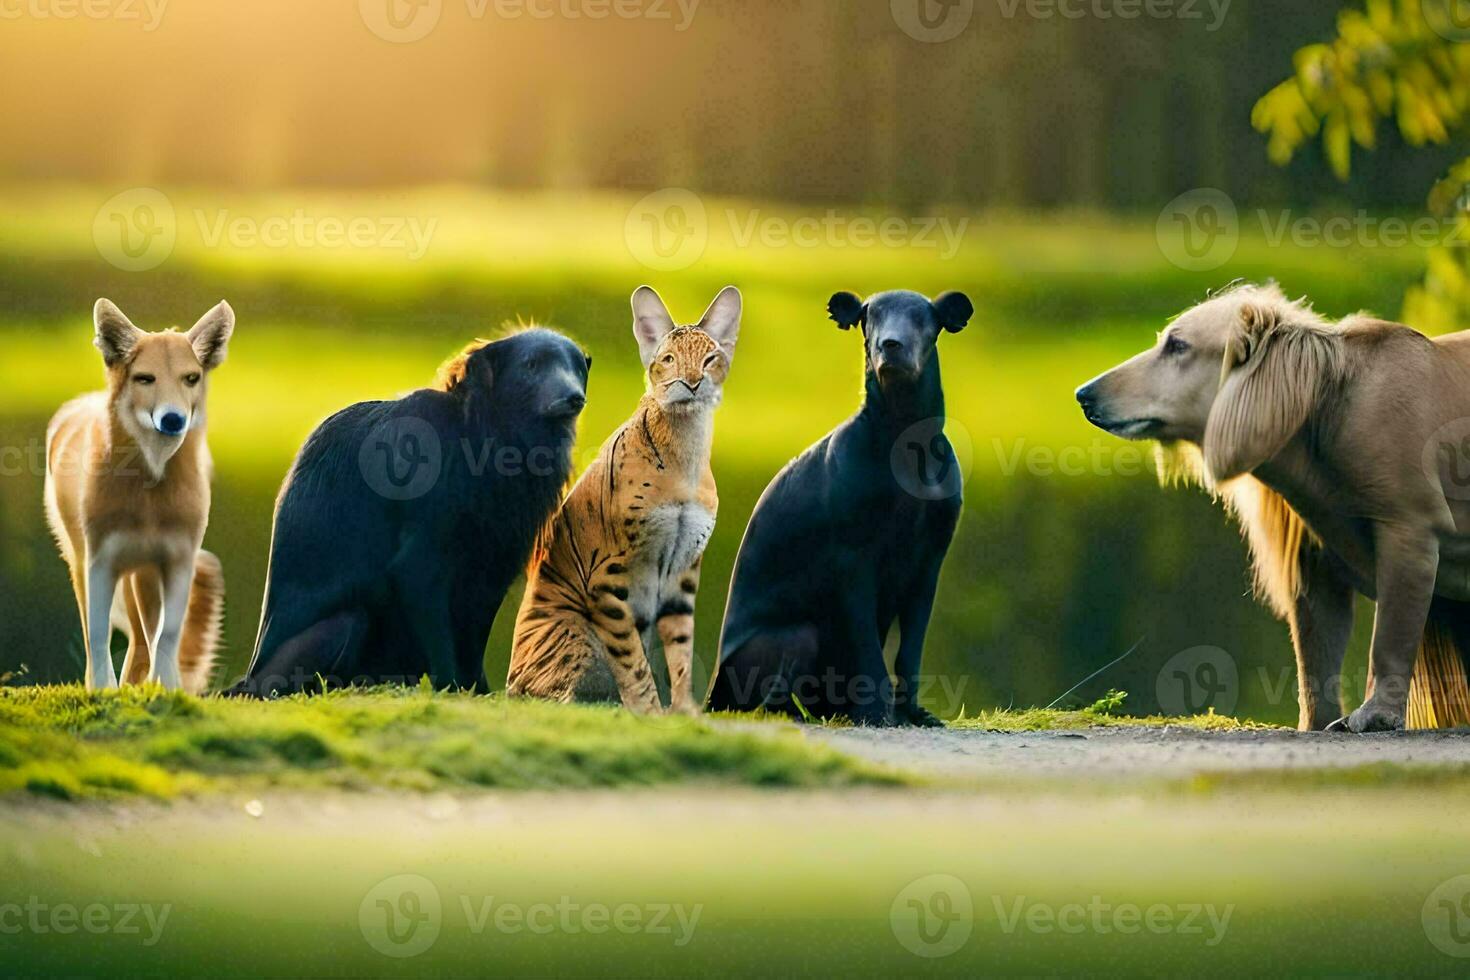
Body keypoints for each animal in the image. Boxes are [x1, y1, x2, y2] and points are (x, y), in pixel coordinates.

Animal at [45, 299, 233, 690]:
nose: (173, 419)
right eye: (145, 378)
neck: (149, 498)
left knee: (143, 638)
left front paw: (167, 690)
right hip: (84, 562)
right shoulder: (100, 562)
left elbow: (166, 636)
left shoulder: (178, 560)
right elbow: (98, 637)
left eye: (191, 378)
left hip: (144, 577)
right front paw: (103, 691)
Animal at [229, 329, 585, 696]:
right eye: (531, 365)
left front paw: (478, 689)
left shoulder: (495, 563)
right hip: (342, 626)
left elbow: (476, 634)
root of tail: (248, 679)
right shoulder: (420, 560)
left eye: (577, 366)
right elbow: (437, 629)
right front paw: (451, 686)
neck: (484, 437)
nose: (574, 397)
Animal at [705, 287, 970, 725]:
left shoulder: (928, 566)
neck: (903, 440)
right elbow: (868, 649)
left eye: (923, 317)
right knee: (769, 701)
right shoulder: (853, 563)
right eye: (870, 316)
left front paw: (911, 712)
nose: (890, 345)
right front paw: (877, 711)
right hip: (796, 636)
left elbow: (909, 653)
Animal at [1076, 279, 1470, 731]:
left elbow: (1389, 636)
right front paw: (1316, 723)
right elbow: (1314, 659)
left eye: (1177, 344)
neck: (1326, 411)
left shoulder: (1409, 528)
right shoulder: (1313, 557)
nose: (1083, 394)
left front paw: (1374, 715)